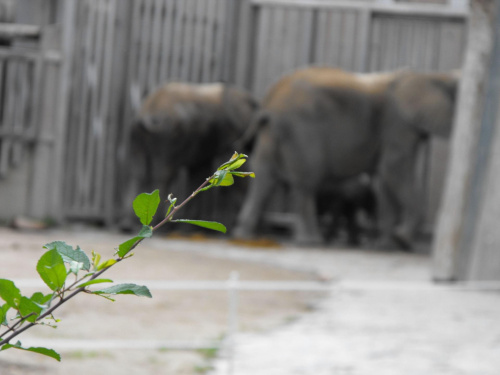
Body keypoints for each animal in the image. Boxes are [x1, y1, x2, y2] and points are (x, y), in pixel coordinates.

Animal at [120, 81, 258, 229]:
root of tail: (147, 116)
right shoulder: (229, 135)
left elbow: (199, 170)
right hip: (168, 135)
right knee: (163, 173)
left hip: (136, 134)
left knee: (137, 172)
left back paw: (128, 225)